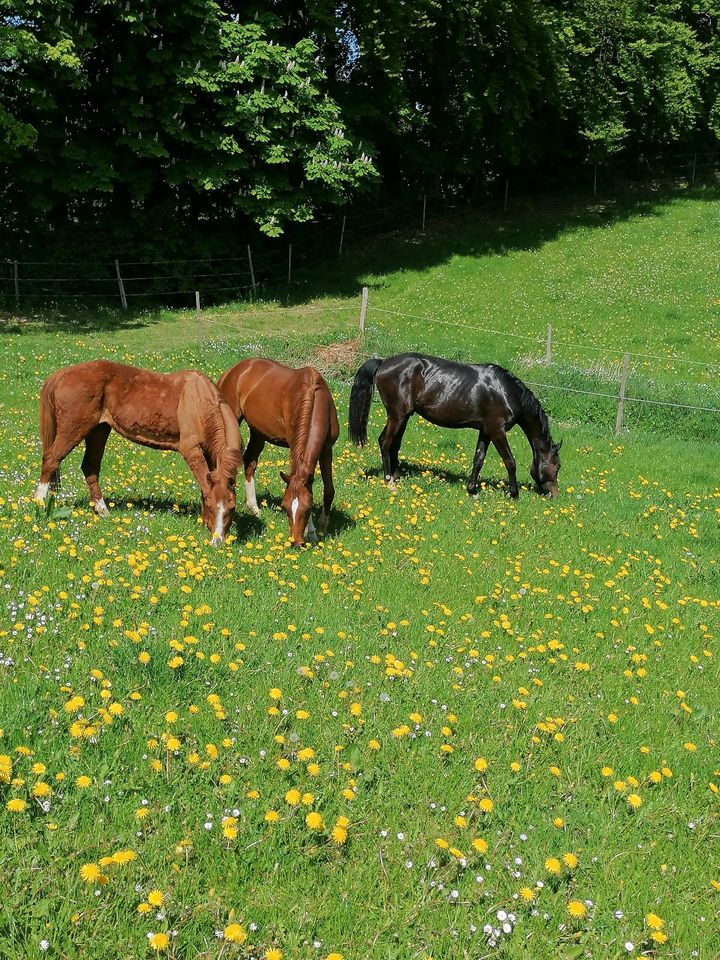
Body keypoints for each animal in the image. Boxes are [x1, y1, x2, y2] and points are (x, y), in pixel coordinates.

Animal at [34, 360, 242, 540]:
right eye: (212, 506)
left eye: (232, 507)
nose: (217, 541)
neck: (198, 402)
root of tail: (64, 373)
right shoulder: (191, 450)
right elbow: (205, 486)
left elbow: (205, 486)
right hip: (73, 430)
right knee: (51, 459)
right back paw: (39, 504)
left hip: (98, 430)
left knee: (89, 467)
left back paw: (103, 512)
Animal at [218, 356, 338, 544]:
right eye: (285, 506)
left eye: (308, 508)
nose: (295, 541)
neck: (314, 398)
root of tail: (235, 369)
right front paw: (312, 532)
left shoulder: (327, 449)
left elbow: (329, 490)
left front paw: (322, 526)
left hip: (258, 432)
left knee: (250, 462)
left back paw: (254, 508)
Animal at [348, 354, 564, 502]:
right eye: (558, 466)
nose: (555, 494)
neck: (506, 391)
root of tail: (383, 361)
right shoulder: (497, 431)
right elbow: (510, 461)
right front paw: (514, 493)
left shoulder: (485, 431)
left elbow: (478, 459)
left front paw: (472, 490)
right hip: (397, 416)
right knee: (385, 442)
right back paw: (389, 481)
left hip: (404, 416)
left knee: (394, 444)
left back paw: (396, 475)